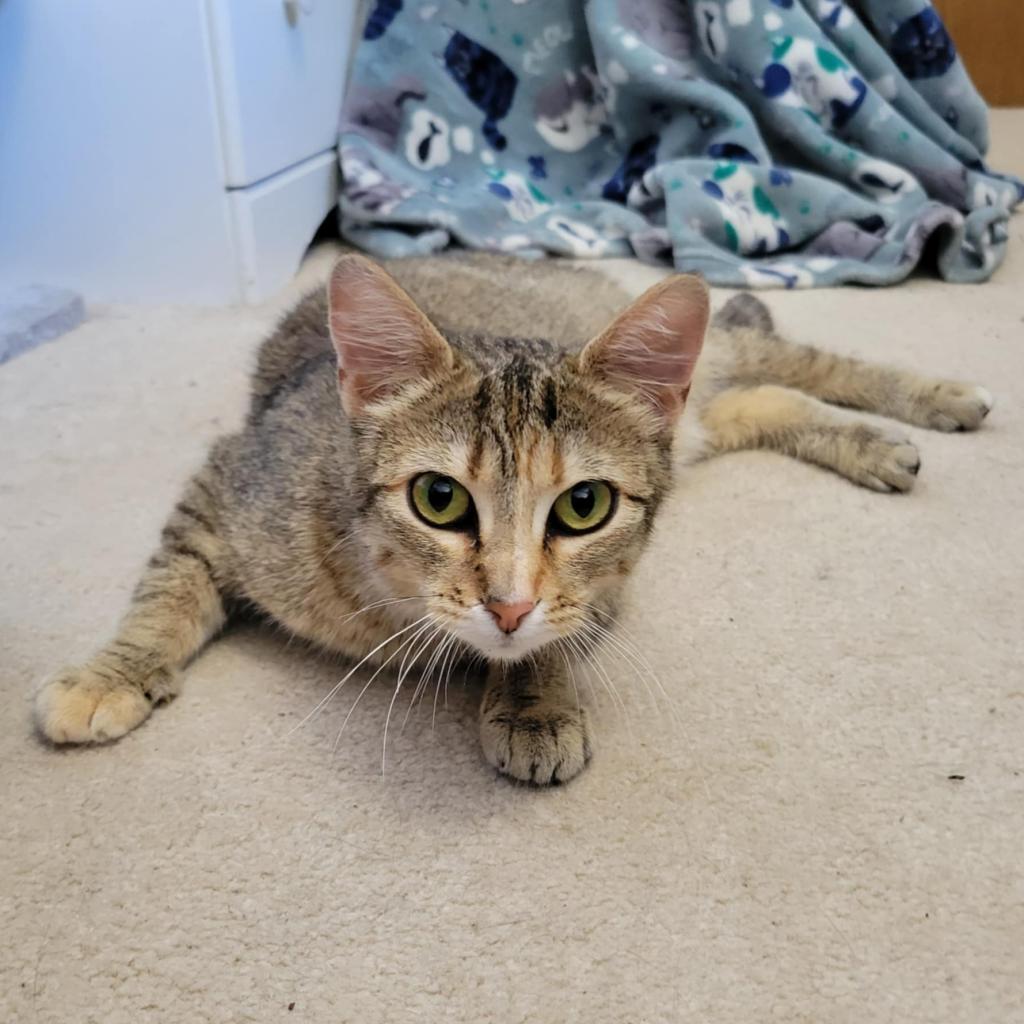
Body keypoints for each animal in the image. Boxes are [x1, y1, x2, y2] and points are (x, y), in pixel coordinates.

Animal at [34, 253, 991, 782]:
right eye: (439, 498)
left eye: (583, 506)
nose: (507, 603)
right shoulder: (225, 485)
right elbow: (164, 592)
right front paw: (115, 670)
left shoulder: (603, 588)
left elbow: (556, 637)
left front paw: (533, 703)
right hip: (701, 417)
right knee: (759, 395)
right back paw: (875, 442)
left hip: (711, 364)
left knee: (788, 355)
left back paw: (931, 400)